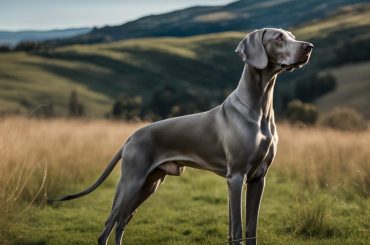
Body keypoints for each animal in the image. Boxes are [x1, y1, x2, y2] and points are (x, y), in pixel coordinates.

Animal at [48, 27, 312, 244]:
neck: (259, 108)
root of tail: (131, 137)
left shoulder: (258, 178)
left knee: (122, 222)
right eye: (279, 38)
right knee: (107, 226)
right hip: (131, 182)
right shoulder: (236, 177)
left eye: (292, 36)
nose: (309, 46)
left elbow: (250, 230)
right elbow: (237, 231)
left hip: (149, 184)